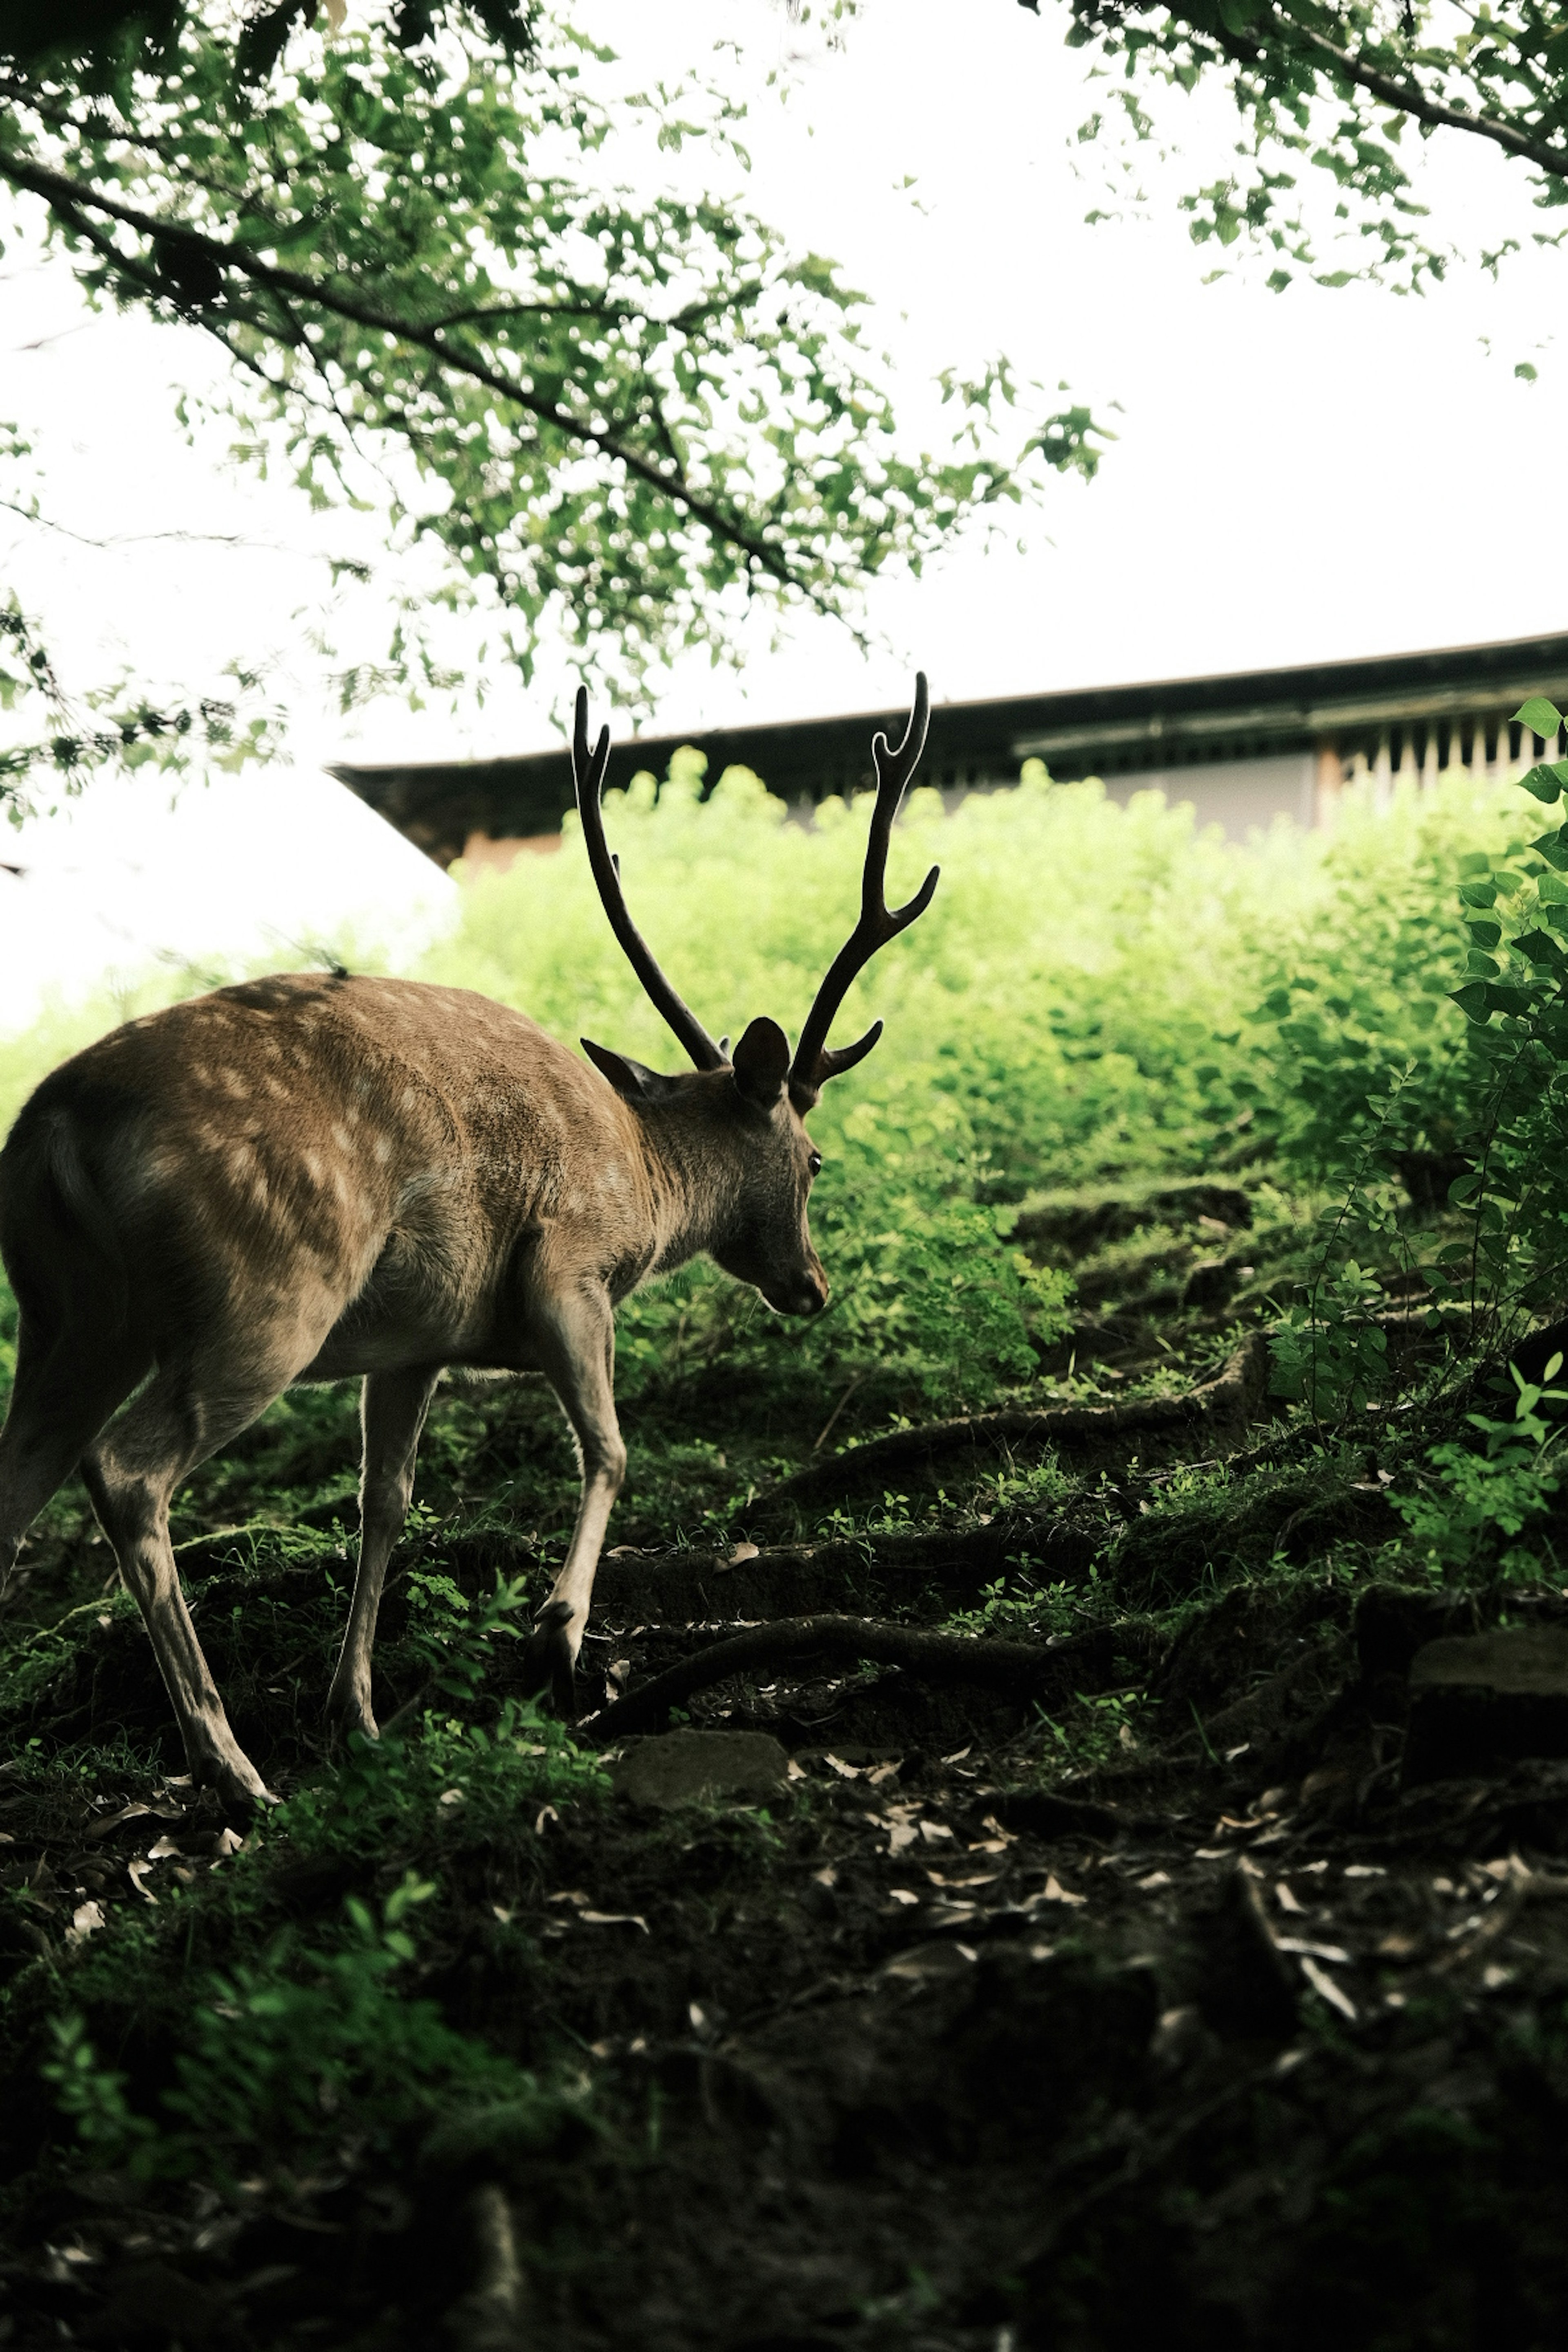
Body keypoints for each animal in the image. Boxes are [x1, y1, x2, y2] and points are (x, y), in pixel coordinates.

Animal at [0, 673, 940, 1806]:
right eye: (815, 1161)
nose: (813, 1285)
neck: (644, 1179)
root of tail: (56, 1124)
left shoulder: (414, 1344)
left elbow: (386, 1499)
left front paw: (356, 1712)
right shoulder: (568, 1270)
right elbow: (611, 1446)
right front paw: (557, 1634)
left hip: (65, 1317)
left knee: (12, 1488)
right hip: (260, 1295)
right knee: (129, 1472)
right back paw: (232, 1768)